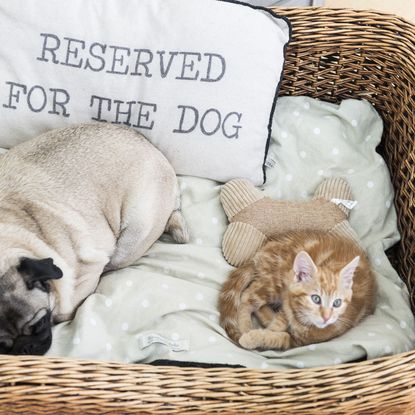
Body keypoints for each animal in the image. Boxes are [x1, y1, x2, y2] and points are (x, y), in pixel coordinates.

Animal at [0, 122, 188, 354]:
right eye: (1, 345)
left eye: (40, 323)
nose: (24, 348)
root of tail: (156, 152)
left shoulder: (87, 272)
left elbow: (64, 310)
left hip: (131, 240)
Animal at [219, 231, 378, 352]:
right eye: (316, 299)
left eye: (337, 303)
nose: (326, 317)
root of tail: (259, 254)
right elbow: (277, 325)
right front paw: (251, 336)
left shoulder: (297, 340)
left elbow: (276, 335)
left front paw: (258, 336)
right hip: (275, 282)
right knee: (247, 296)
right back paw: (245, 328)